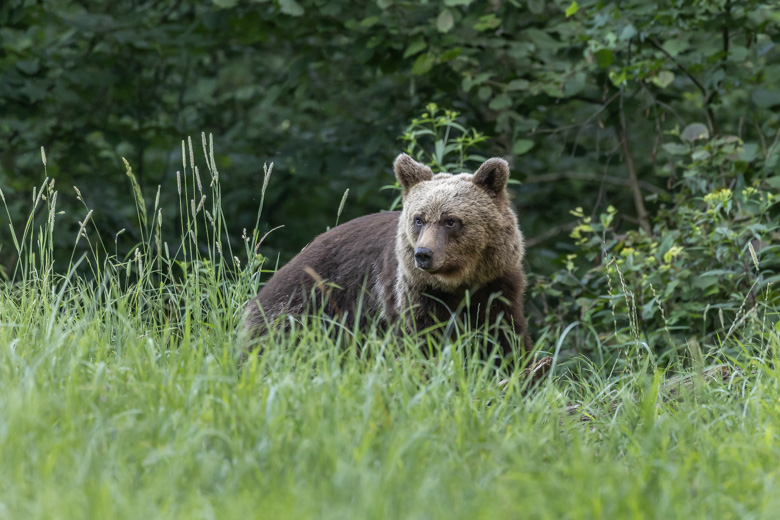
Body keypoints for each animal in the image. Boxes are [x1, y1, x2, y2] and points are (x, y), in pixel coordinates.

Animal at [245, 153, 532, 358]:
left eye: (451, 221)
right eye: (419, 219)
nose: (423, 254)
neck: (457, 283)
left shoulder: (497, 283)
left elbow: (505, 336)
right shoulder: (413, 290)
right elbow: (422, 338)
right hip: (304, 304)